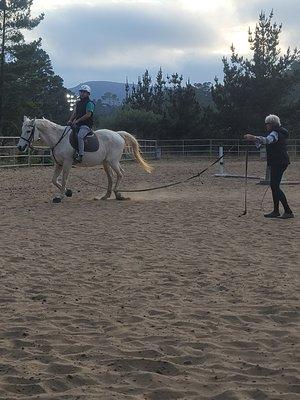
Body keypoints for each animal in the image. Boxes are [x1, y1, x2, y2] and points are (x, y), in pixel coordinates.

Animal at [16, 117, 154, 202]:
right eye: (22, 130)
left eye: (28, 130)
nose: (20, 147)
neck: (58, 139)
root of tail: (117, 134)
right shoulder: (58, 164)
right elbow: (54, 180)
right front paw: (68, 192)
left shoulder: (67, 163)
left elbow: (64, 179)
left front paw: (60, 196)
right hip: (106, 163)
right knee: (111, 177)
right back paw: (106, 196)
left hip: (113, 161)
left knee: (120, 174)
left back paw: (118, 194)